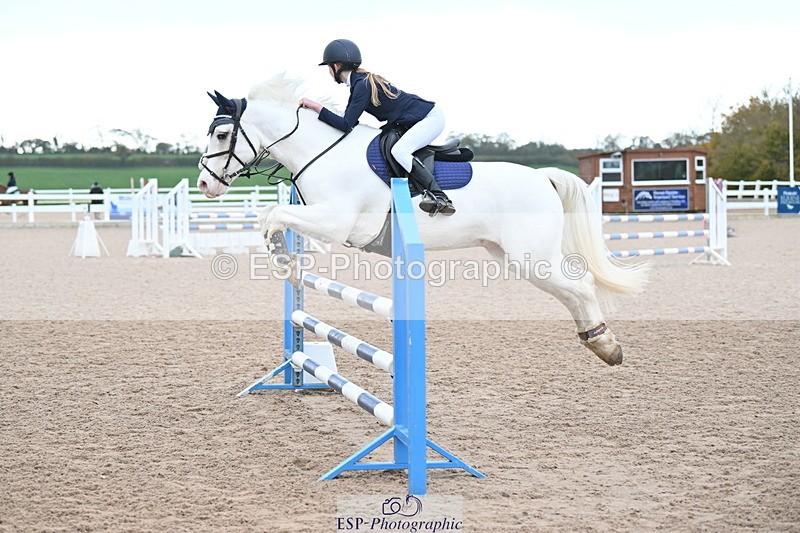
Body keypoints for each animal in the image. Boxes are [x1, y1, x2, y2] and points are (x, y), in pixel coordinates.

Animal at [196, 74, 649, 366]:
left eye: (222, 135)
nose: (204, 183)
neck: (320, 151)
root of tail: (542, 177)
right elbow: (270, 215)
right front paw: (287, 266)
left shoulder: (335, 222)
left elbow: (273, 215)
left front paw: (286, 267)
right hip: (514, 257)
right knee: (570, 292)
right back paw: (597, 342)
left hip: (532, 256)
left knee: (581, 285)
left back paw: (607, 346)